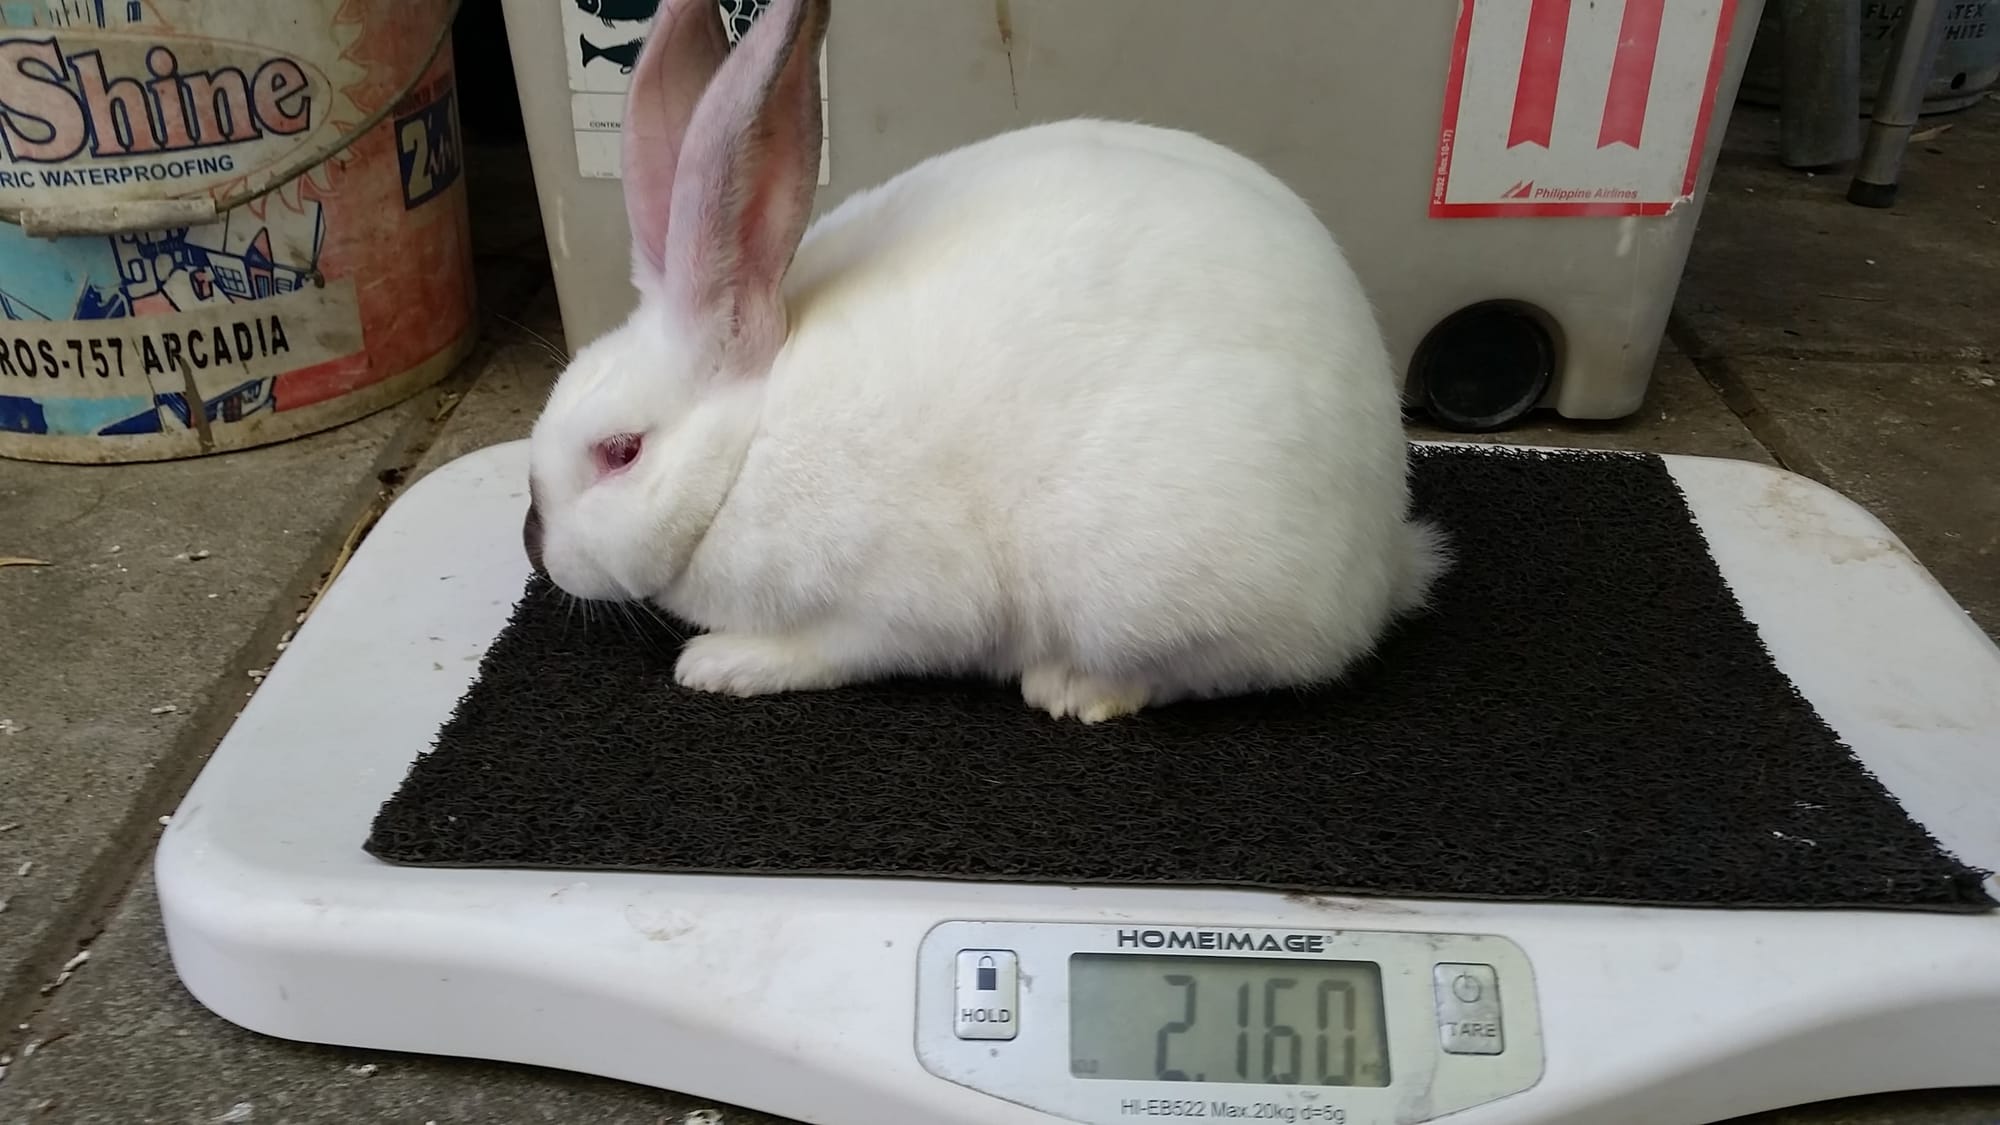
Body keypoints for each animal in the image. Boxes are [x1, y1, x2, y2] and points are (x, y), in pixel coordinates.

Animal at [522, 0, 1449, 723]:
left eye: (621, 452)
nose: (537, 549)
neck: (746, 450)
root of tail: (1385, 552)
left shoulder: (893, 604)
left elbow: (831, 649)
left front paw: (719, 664)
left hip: (1148, 582)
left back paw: (1075, 687)